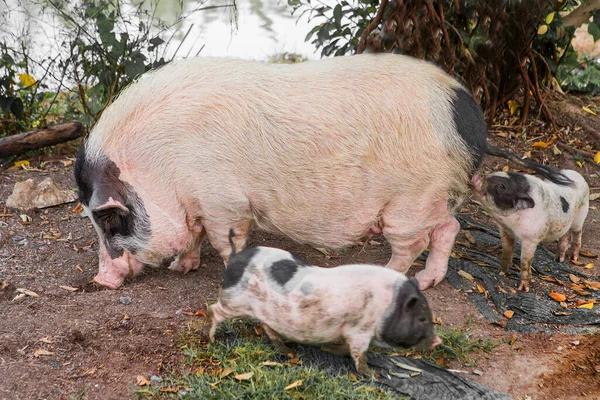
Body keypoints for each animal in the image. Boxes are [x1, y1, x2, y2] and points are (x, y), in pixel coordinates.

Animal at [75, 54, 490, 290]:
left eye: (111, 221)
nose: (100, 280)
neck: (158, 168)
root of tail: (467, 113)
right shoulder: (197, 204)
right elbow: (194, 234)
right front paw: (182, 268)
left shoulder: (224, 202)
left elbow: (224, 241)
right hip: (433, 197)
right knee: (449, 228)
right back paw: (427, 281)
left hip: (411, 199)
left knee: (413, 245)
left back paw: (389, 275)